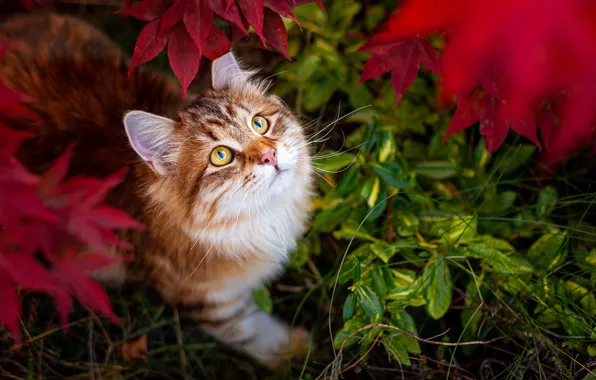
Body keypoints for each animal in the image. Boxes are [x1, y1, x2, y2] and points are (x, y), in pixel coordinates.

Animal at [0, 11, 314, 368]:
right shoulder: (205, 298)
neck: (255, 220)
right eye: (220, 156)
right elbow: (251, 330)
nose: (269, 155)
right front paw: (295, 350)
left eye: (260, 124)